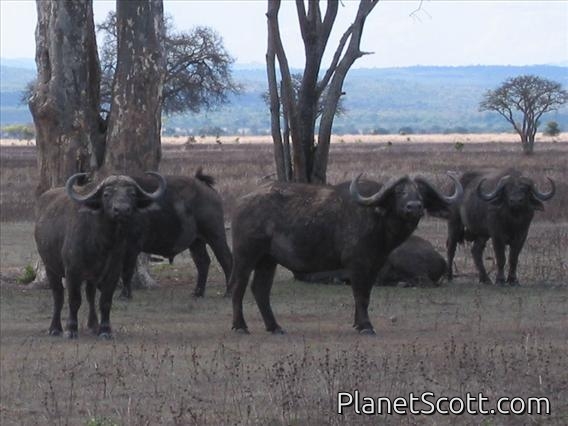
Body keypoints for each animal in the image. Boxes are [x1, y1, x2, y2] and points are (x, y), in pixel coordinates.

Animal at [35, 171, 165, 338]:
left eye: (132, 193)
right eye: (106, 194)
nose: (121, 210)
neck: (102, 243)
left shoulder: (113, 272)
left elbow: (105, 301)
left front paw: (105, 330)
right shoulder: (72, 272)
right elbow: (74, 300)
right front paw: (71, 329)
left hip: (91, 276)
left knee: (90, 295)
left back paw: (93, 325)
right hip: (50, 268)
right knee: (58, 297)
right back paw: (55, 328)